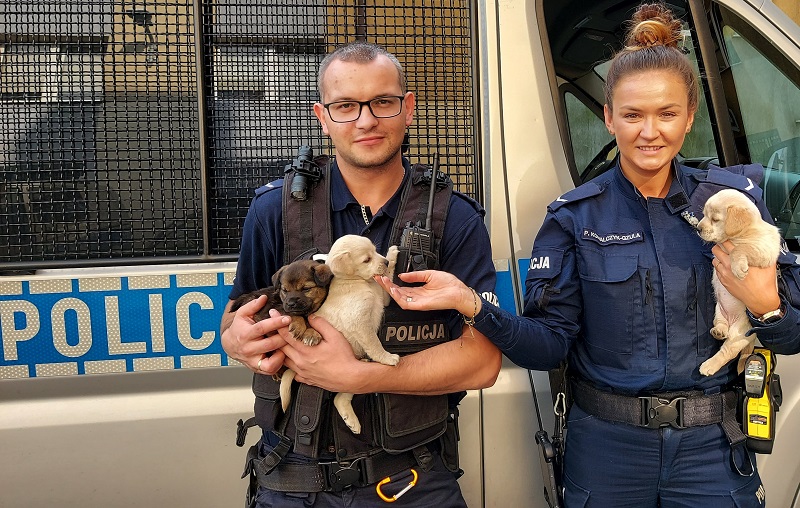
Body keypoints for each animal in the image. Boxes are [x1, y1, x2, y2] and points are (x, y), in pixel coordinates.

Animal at [282, 234, 400, 432]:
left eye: (376, 251)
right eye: (366, 259)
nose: (383, 261)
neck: (357, 282)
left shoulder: (382, 299)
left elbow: (387, 280)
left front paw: (391, 256)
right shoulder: (360, 322)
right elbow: (374, 344)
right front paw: (387, 358)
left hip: (352, 378)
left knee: (340, 398)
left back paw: (351, 420)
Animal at [692, 189, 780, 376]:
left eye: (715, 219)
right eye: (704, 215)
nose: (697, 228)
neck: (740, 235)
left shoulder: (764, 249)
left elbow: (740, 249)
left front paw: (738, 267)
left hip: (739, 334)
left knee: (727, 352)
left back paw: (708, 366)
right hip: (719, 311)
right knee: (720, 324)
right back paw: (718, 331)